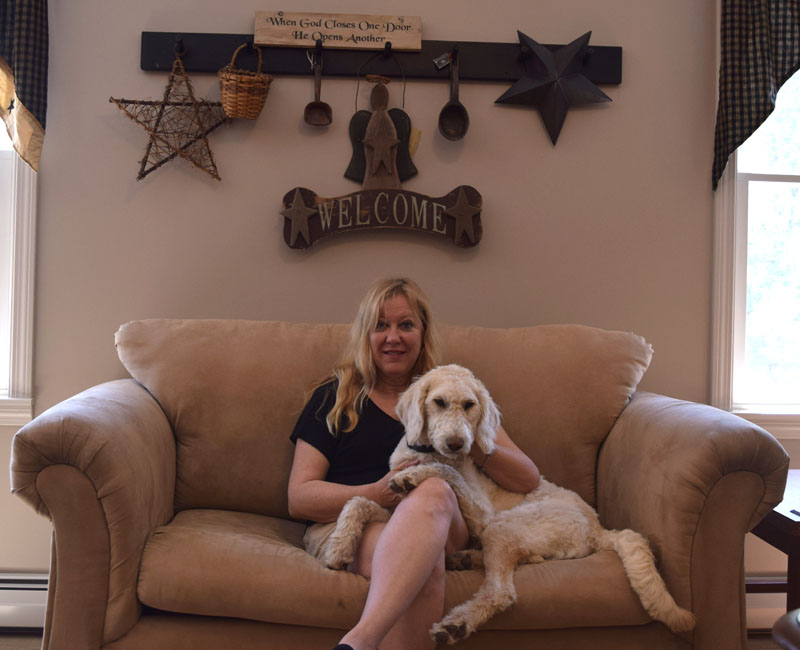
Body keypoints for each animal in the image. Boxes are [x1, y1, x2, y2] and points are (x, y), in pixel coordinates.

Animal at [318, 364, 692, 644]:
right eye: (438, 402)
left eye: (470, 405)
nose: (456, 443)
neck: (429, 452)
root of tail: (600, 528)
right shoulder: (391, 508)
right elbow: (357, 500)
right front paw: (339, 547)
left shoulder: (480, 512)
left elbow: (445, 474)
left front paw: (417, 475)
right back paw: (464, 558)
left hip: (503, 526)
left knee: (501, 591)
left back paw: (457, 623)